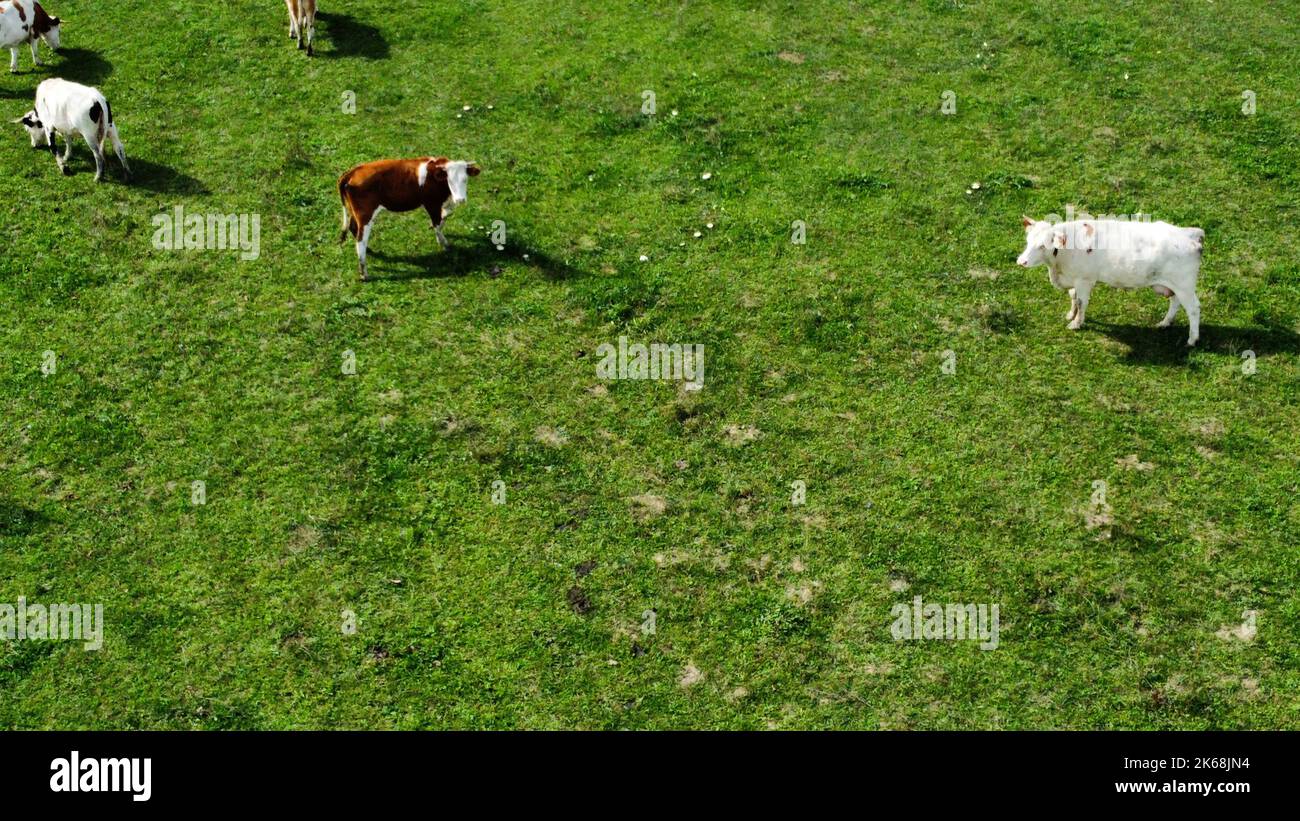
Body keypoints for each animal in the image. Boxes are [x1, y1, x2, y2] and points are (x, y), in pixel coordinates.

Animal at [337, 157, 481, 280]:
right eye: (449, 180)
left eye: (465, 179)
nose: (460, 200)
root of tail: (352, 172)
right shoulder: (431, 204)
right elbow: (437, 224)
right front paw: (443, 243)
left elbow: (445, 215)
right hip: (365, 215)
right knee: (361, 241)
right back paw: (364, 274)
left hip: (355, 212)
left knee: (353, 227)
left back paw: (370, 251)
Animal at [1017, 216, 1203, 346]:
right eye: (1028, 241)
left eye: (1042, 245)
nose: (1021, 261)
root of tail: (1190, 234)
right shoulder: (1074, 277)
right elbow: (1072, 297)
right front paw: (1070, 315)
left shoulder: (1085, 279)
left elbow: (1081, 302)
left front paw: (1076, 324)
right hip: (1171, 284)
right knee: (1175, 301)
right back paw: (1165, 323)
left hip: (1185, 285)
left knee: (1193, 309)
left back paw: (1192, 340)